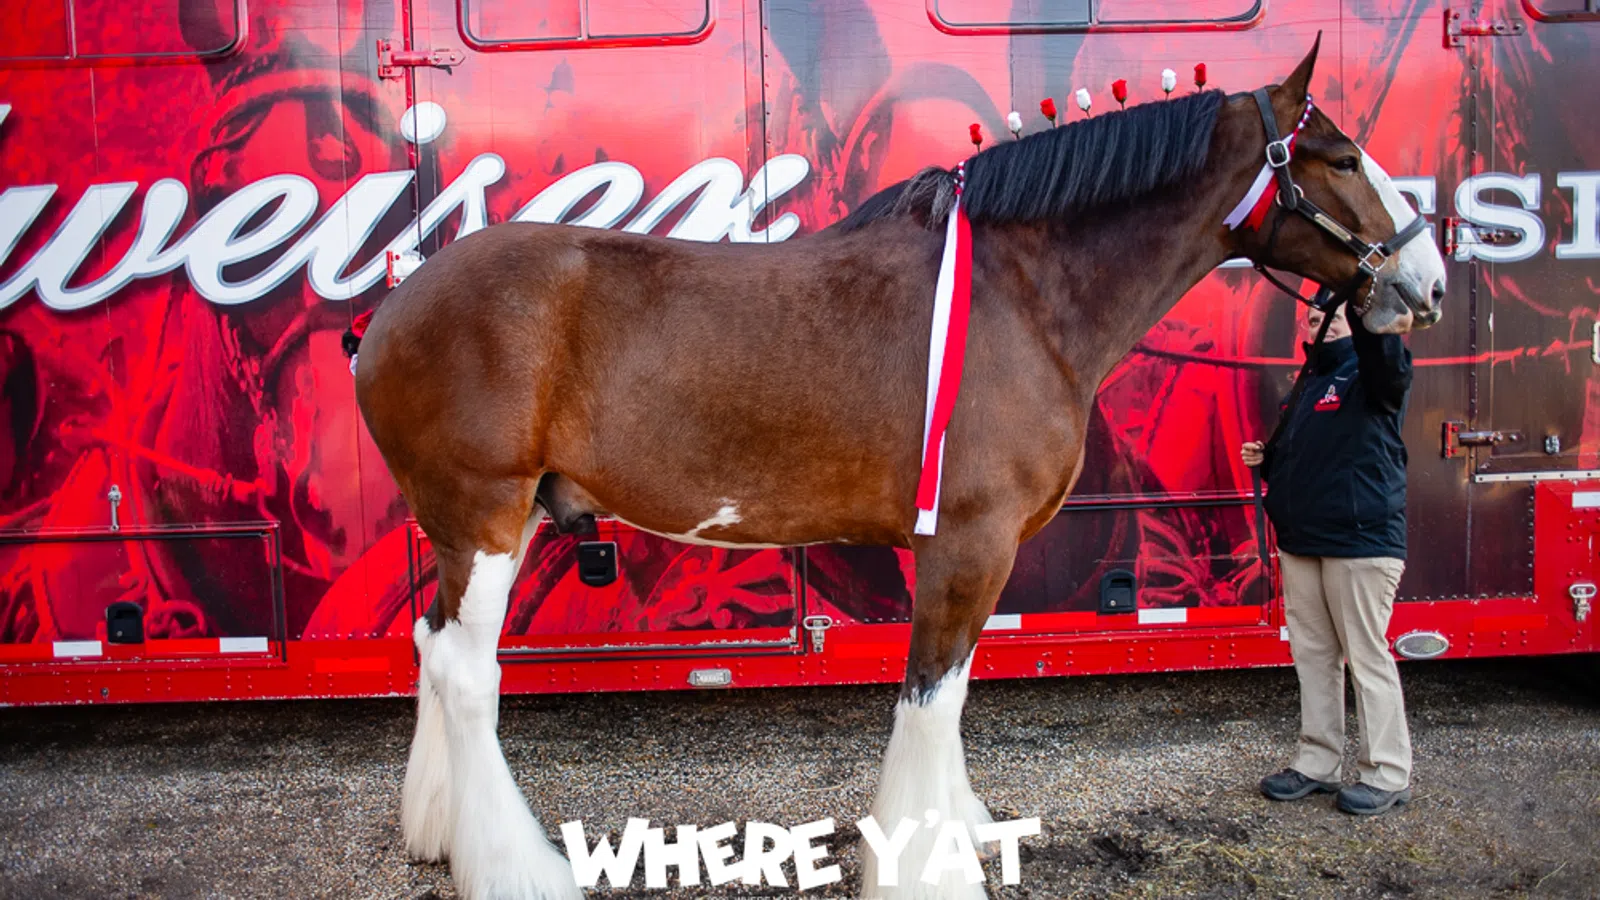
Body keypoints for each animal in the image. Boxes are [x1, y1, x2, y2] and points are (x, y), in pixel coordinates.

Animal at [350, 35, 1446, 900]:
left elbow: (950, 697)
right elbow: (930, 696)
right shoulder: (970, 541)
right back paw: (515, 869)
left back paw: (439, 834)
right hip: (485, 516)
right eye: (1343, 157)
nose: (1426, 281)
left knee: (433, 647)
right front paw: (929, 868)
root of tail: (393, 308)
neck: (1019, 297)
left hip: (482, 524)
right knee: (465, 672)